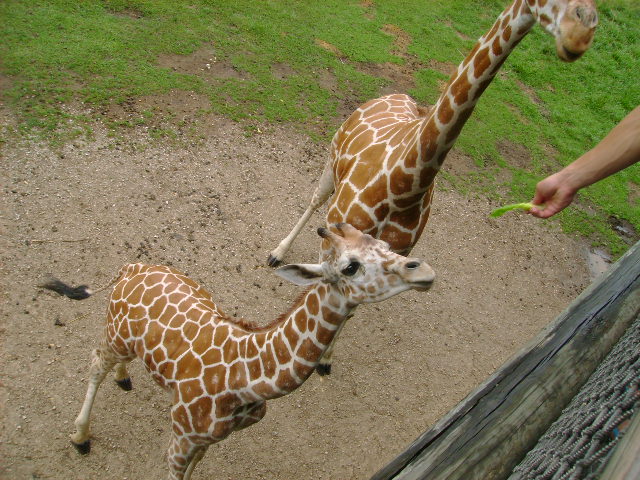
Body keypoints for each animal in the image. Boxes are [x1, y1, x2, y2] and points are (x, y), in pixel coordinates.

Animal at [41, 223, 435, 480]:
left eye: (384, 244)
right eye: (350, 266)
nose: (424, 270)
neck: (246, 381)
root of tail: (131, 267)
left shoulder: (210, 439)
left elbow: (196, 467)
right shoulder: (181, 436)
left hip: (128, 341)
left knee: (118, 364)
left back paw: (124, 380)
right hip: (116, 335)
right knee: (96, 364)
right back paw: (80, 438)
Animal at [267, 0, 598, 373]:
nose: (579, 37)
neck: (404, 185)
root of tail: (394, 94)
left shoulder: (394, 253)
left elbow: (350, 307)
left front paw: (326, 359)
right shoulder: (337, 244)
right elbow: (323, 289)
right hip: (332, 157)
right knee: (313, 200)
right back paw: (277, 253)